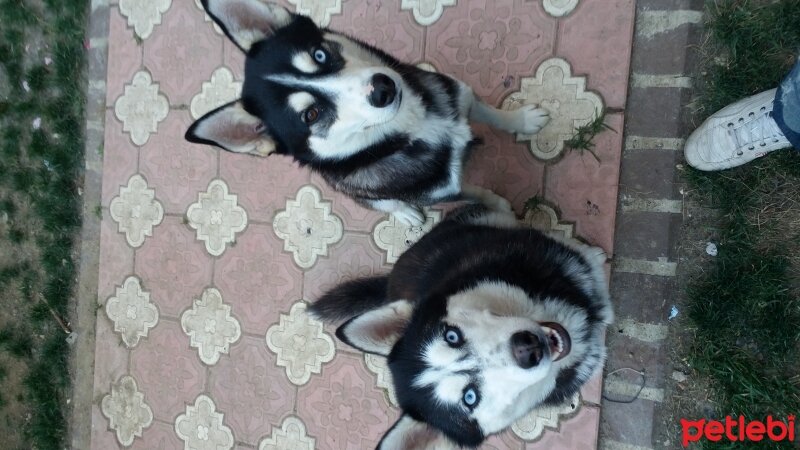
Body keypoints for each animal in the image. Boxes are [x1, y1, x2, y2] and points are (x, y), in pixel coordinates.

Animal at [188, 0, 552, 225]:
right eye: (311, 115)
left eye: (319, 54)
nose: (383, 88)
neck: (414, 127)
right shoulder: (443, 190)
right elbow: (478, 192)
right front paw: (500, 208)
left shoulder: (459, 96)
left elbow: (491, 113)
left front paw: (523, 121)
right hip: (357, 189)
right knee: (382, 202)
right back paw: (405, 213)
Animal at [310, 192, 612, 448]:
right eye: (470, 398)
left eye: (451, 336)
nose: (527, 348)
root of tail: (388, 285)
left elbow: (582, 257)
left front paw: (596, 257)